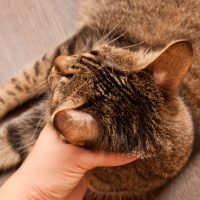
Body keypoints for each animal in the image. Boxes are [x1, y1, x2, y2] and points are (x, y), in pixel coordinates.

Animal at [0, 0, 200, 199]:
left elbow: (10, 133)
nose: (58, 60)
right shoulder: (83, 38)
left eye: (65, 75)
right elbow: (18, 85)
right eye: (92, 52)